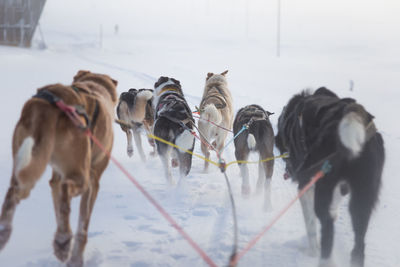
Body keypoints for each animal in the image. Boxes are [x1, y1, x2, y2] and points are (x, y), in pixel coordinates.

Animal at [0, 70, 118, 266]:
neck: (94, 86)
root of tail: (48, 107)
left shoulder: (55, 177)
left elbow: (59, 208)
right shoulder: (94, 183)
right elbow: (82, 227)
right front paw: (75, 258)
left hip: (28, 163)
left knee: (14, 191)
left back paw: (6, 231)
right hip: (81, 176)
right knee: (65, 188)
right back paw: (63, 240)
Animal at [276, 87, 384, 266]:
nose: (290, 170)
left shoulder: (305, 186)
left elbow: (311, 224)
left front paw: (312, 251)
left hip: (324, 189)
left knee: (327, 229)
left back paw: (325, 259)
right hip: (363, 197)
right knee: (359, 244)